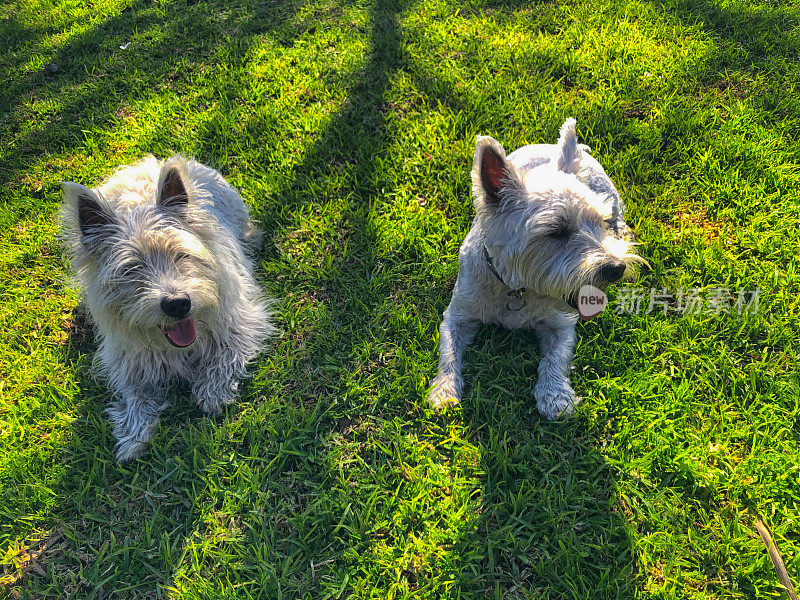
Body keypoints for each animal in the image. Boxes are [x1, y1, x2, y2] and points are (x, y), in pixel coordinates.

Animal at [61, 157, 276, 462]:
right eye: (131, 268)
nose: (177, 303)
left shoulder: (242, 321)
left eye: (181, 254)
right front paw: (134, 433)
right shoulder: (128, 361)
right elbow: (136, 393)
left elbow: (226, 354)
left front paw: (213, 391)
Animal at [428, 119, 640, 420]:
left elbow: (555, 359)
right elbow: (448, 353)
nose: (616, 268)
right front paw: (444, 391)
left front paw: (555, 396)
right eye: (557, 231)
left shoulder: (561, 323)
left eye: (599, 222)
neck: (515, 288)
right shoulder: (458, 315)